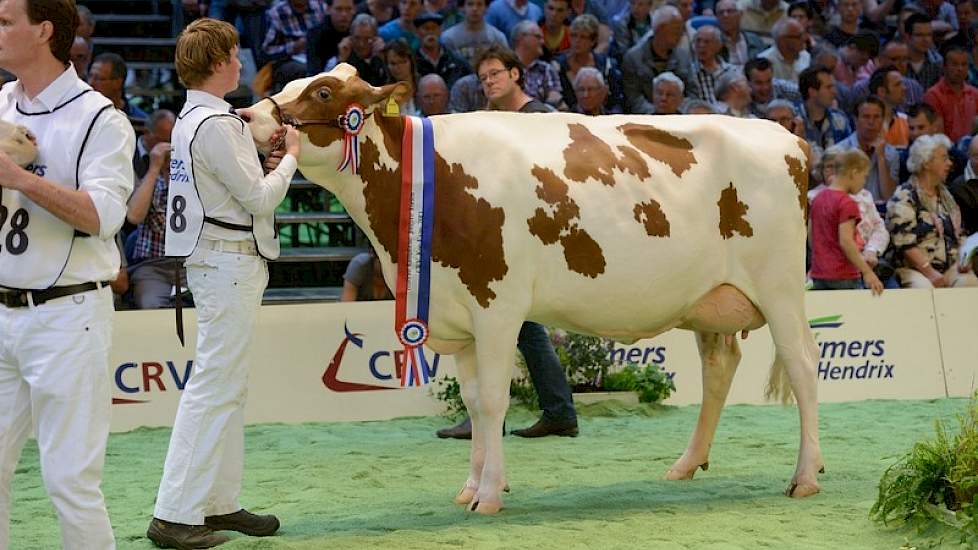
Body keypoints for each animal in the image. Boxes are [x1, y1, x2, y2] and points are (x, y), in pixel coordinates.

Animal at [248, 66, 820, 516]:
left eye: (322, 91)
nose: (250, 115)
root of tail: (789, 136)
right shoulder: (457, 316)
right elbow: (475, 404)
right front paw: (471, 485)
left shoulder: (497, 308)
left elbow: (495, 401)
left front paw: (489, 495)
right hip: (710, 301)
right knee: (719, 368)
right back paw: (686, 464)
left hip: (781, 287)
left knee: (802, 366)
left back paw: (805, 477)